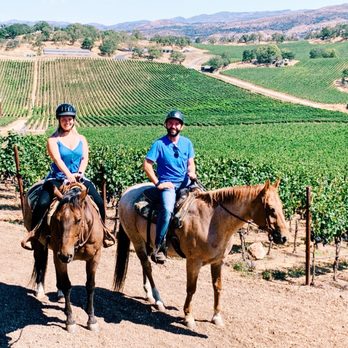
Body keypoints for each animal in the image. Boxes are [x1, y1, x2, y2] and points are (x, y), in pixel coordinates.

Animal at [23, 182, 104, 332]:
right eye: (57, 219)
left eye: (78, 220)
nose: (66, 255)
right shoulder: (59, 254)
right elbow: (67, 285)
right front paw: (70, 320)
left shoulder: (95, 256)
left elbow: (90, 285)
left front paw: (92, 319)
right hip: (40, 245)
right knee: (40, 263)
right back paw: (40, 291)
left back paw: (59, 294)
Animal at [113, 179, 288, 328]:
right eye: (271, 208)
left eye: (281, 206)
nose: (284, 237)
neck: (213, 221)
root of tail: (127, 192)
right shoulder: (193, 261)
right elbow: (191, 288)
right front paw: (188, 317)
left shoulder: (219, 261)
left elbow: (217, 287)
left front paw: (216, 317)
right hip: (136, 240)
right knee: (147, 265)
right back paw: (158, 300)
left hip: (147, 241)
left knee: (145, 265)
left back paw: (149, 294)